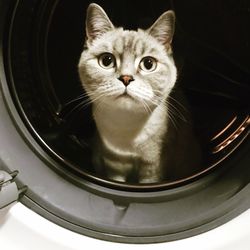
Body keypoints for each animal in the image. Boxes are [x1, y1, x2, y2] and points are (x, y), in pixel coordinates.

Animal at [78, 2, 201, 184]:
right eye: (107, 60)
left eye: (148, 64)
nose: (126, 78)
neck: (127, 125)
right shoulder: (113, 166)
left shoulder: (153, 167)